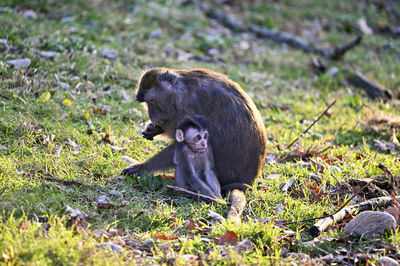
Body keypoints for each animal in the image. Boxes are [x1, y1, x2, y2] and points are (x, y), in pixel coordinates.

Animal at [120, 67, 268, 222]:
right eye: (147, 103)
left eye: (152, 101)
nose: (151, 115)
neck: (179, 90)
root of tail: (245, 183)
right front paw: (153, 129)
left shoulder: (188, 108)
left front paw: (142, 167)